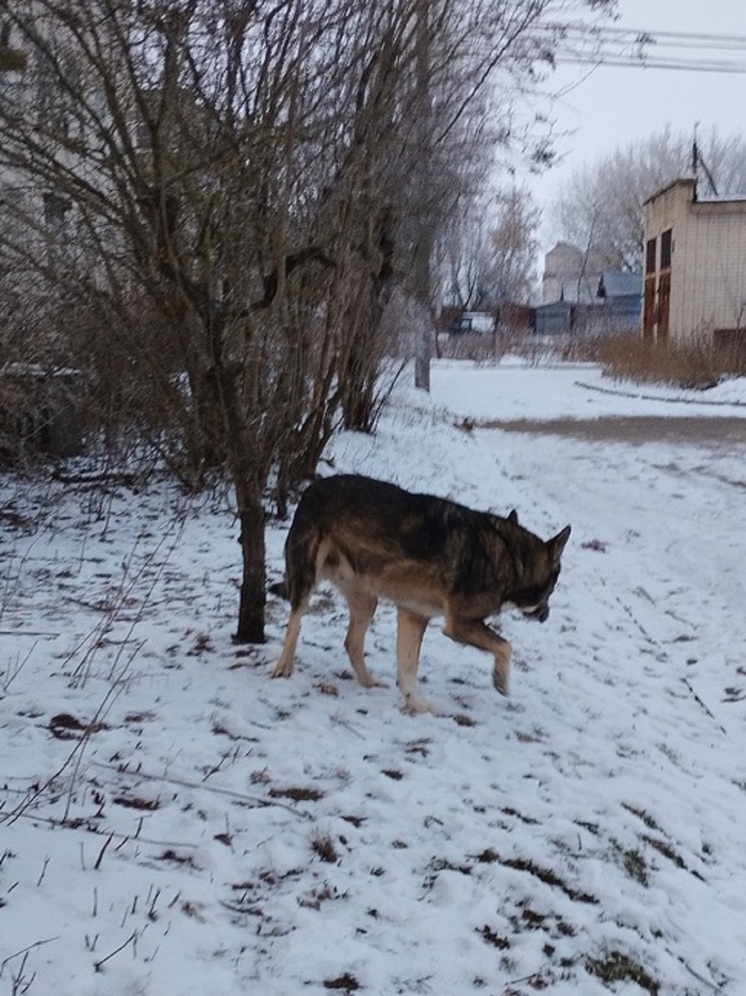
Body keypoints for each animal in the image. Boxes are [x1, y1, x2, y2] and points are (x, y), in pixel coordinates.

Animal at [274, 476, 568, 716]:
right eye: (552, 589)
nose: (546, 616)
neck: (511, 558)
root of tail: (311, 488)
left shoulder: (414, 615)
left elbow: (407, 669)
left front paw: (416, 705)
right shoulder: (459, 624)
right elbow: (506, 646)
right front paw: (500, 680)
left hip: (367, 601)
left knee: (351, 642)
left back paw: (369, 682)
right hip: (307, 580)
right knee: (294, 624)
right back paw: (283, 667)